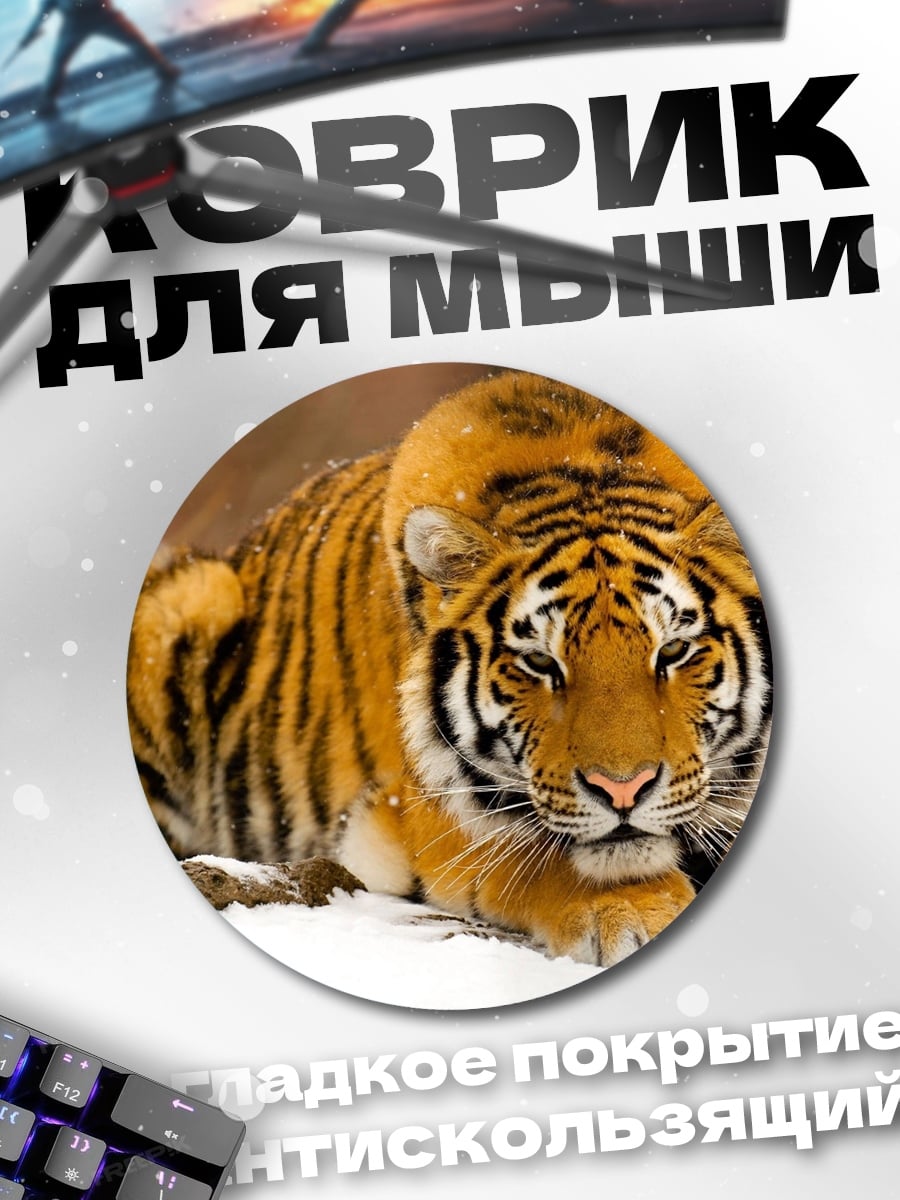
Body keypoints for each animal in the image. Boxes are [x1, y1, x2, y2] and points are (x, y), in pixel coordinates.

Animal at [127, 370, 772, 968]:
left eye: (673, 652)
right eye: (540, 661)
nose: (624, 790)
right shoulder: (425, 814)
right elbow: (537, 856)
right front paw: (635, 908)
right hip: (186, 601)